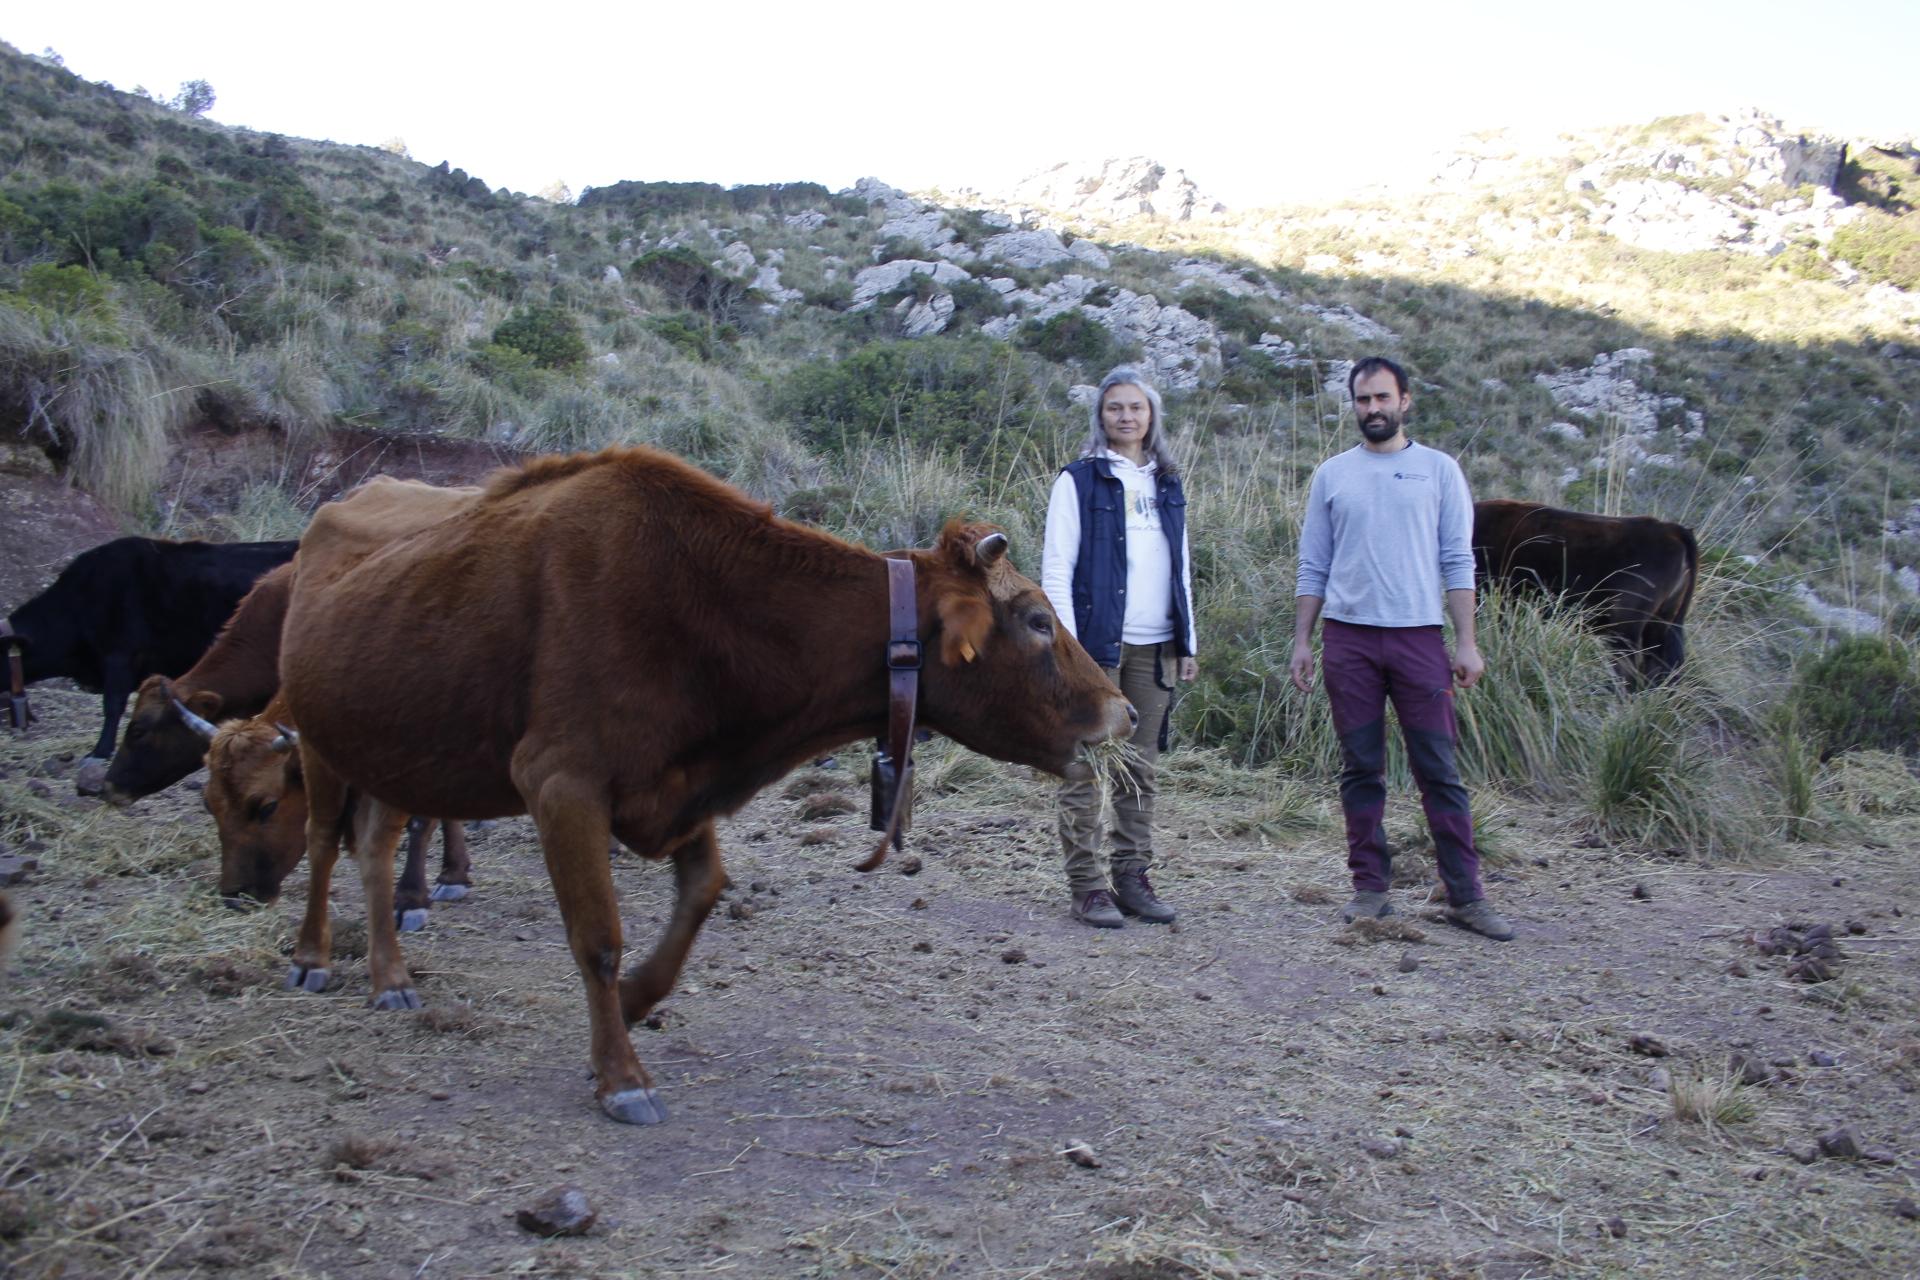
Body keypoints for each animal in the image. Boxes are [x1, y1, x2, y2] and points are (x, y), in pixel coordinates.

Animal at [275, 445, 1136, 1126]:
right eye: (1036, 619)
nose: (1123, 711)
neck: (707, 601)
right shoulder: (561, 782)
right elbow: (597, 937)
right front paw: (621, 1076)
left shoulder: (680, 786)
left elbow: (702, 895)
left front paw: (630, 1007)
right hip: (316, 739)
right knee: (320, 844)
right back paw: (313, 958)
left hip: (392, 750)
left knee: (374, 849)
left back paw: (390, 977)